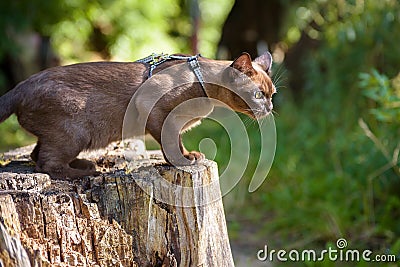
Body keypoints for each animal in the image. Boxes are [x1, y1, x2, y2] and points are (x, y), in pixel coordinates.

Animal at [0, 52, 276, 181]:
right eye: (258, 95)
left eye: (272, 94)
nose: (270, 107)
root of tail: (21, 85)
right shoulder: (158, 113)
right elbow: (170, 145)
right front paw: (184, 162)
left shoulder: (173, 122)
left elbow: (178, 142)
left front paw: (191, 156)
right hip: (75, 135)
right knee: (46, 163)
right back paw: (88, 173)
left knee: (36, 155)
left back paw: (85, 165)